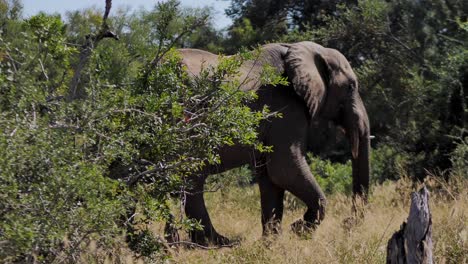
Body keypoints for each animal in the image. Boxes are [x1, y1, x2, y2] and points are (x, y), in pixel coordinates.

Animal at [177, 41, 372, 245]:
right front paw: (298, 230)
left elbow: (270, 177)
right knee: (193, 179)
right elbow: (284, 169)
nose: (347, 223)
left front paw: (271, 242)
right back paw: (219, 243)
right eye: (351, 86)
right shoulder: (285, 108)